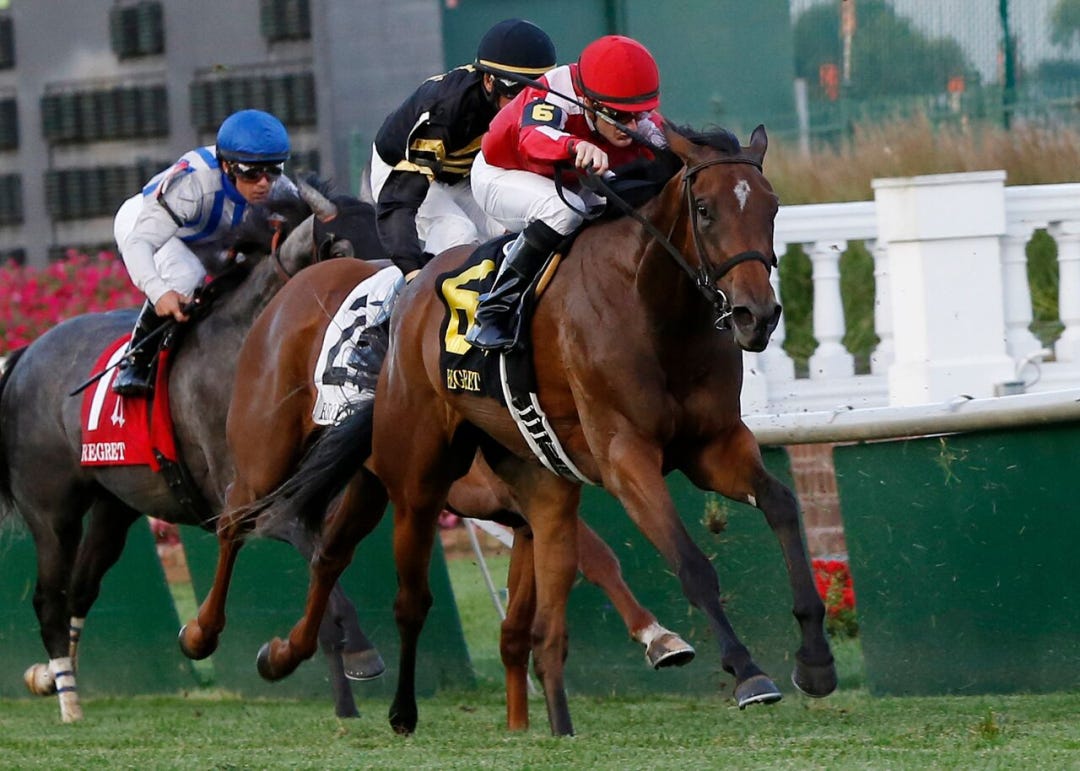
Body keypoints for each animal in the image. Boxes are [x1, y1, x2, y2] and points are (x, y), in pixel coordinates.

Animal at [0, 182, 387, 723]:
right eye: (341, 252)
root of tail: (23, 355)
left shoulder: (317, 488)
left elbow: (329, 555)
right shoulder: (252, 495)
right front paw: (351, 651)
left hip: (114, 506)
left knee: (81, 588)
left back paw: (51, 677)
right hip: (51, 512)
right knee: (48, 598)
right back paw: (69, 702)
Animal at [175, 188, 696, 703]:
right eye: (339, 244)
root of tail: (286, 297)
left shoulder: (513, 505)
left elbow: (580, 563)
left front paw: (656, 636)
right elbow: (594, 553)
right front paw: (658, 636)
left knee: (307, 537)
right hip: (263, 454)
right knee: (234, 520)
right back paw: (201, 633)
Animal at [241, 123, 838, 736]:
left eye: (771, 206)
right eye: (705, 210)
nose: (755, 316)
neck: (652, 307)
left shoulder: (714, 446)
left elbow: (782, 505)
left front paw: (815, 660)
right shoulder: (625, 457)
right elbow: (689, 563)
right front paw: (745, 671)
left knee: (334, 554)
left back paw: (292, 656)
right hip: (412, 474)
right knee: (362, 571)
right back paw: (368, 688)